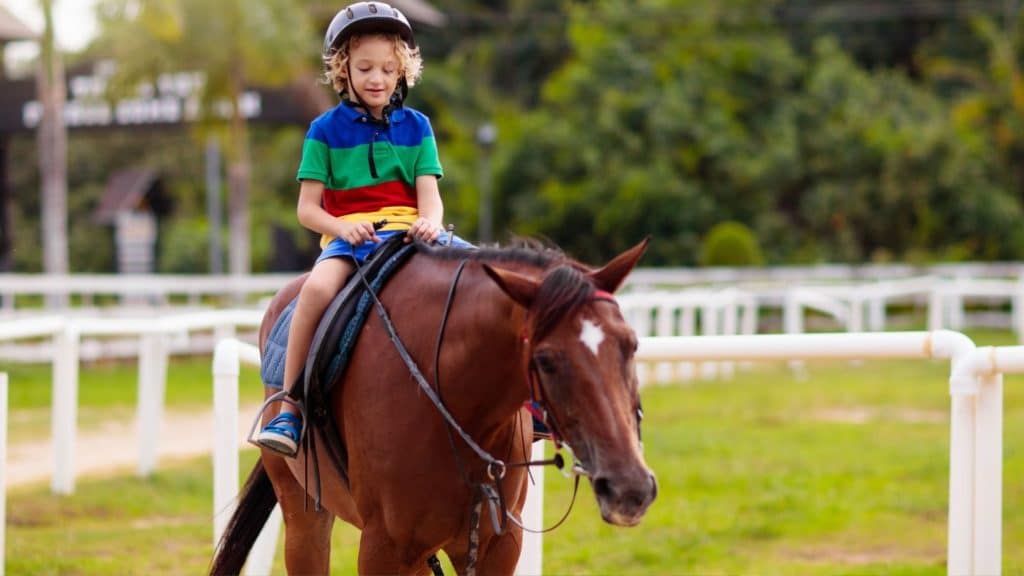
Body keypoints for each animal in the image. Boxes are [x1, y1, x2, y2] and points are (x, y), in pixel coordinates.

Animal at [209, 235, 655, 569]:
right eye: (545, 360)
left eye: (631, 344)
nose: (629, 488)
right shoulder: (384, 547)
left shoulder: (498, 543)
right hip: (305, 519)